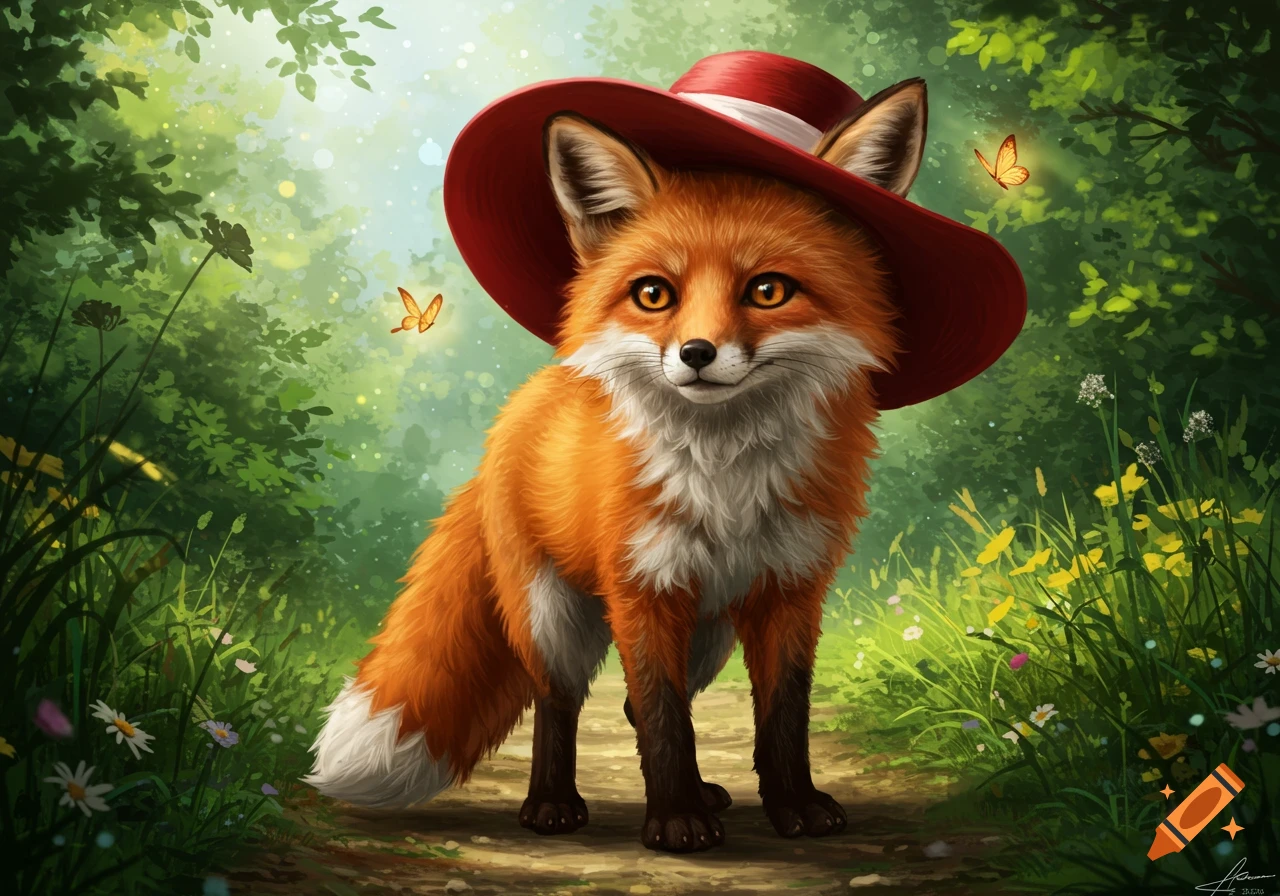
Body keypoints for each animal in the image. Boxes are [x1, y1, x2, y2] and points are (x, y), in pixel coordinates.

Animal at [304, 77, 929, 852]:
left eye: (768, 290)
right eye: (654, 294)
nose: (696, 353)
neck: (725, 478)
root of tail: (526, 400)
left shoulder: (790, 589)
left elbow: (780, 716)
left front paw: (792, 806)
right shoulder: (643, 588)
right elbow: (663, 717)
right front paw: (676, 821)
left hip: (709, 635)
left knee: (635, 703)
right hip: (553, 618)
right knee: (560, 702)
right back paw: (552, 804)